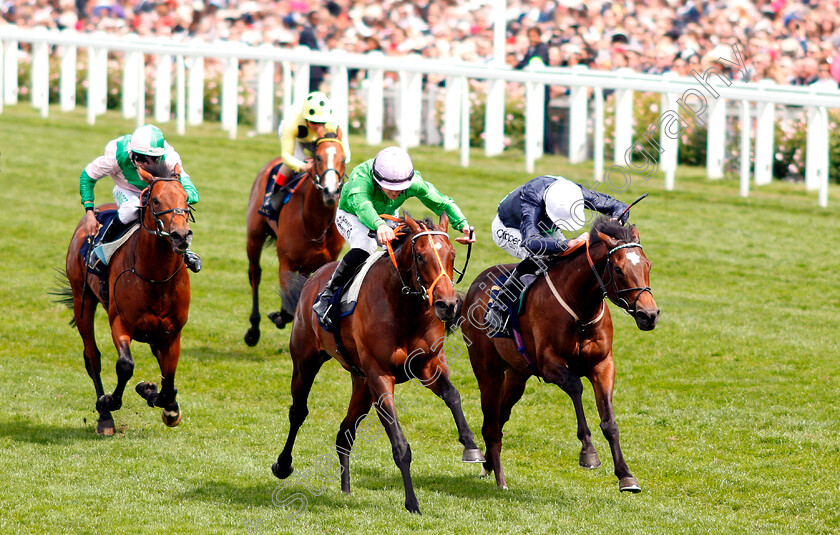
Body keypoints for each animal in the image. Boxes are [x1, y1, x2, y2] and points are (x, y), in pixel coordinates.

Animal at [60, 161, 195, 438]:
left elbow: (169, 379)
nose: (181, 236)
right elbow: (125, 365)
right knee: (92, 357)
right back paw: (105, 417)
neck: (156, 278)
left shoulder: (172, 333)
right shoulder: (120, 321)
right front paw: (110, 401)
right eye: (155, 200)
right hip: (82, 299)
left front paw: (161, 400)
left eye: (186, 198)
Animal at [244, 136, 346, 348]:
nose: (330, 192)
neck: (314, 222)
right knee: (255, 274)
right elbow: (288, 308)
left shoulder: (326, 262)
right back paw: (253, 330)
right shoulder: (286, 261)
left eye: (343, 159)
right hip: (254, 237)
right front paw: (278, 316)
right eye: (318, 158)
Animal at [274, 214, 486, 516]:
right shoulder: (380, 376)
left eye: (452, 254)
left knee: (345, 432)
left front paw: (471, 447)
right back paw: (283, 465)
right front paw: (412, 503)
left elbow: (453, 395)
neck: (405, 310)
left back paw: (346, 489)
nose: (448, 305)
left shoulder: (428, 365)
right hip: (306, 361)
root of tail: (313, 278)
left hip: (361, 384)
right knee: (298, 412)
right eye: (421, 256)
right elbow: (400, 444)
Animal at [456, 218, 660, 494]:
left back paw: (488, 463)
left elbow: (609, 421)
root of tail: (474, 288)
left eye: (647, 265)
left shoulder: (603, 365)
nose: (649, 315)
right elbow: (575, 387)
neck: (580, 309)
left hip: (518, 375)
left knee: (500, 416)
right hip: (488, 371)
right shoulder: (549, 364)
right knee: (491, 424)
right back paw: (498, 477)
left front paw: (626, 476)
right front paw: (588, 453)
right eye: (618, 270)